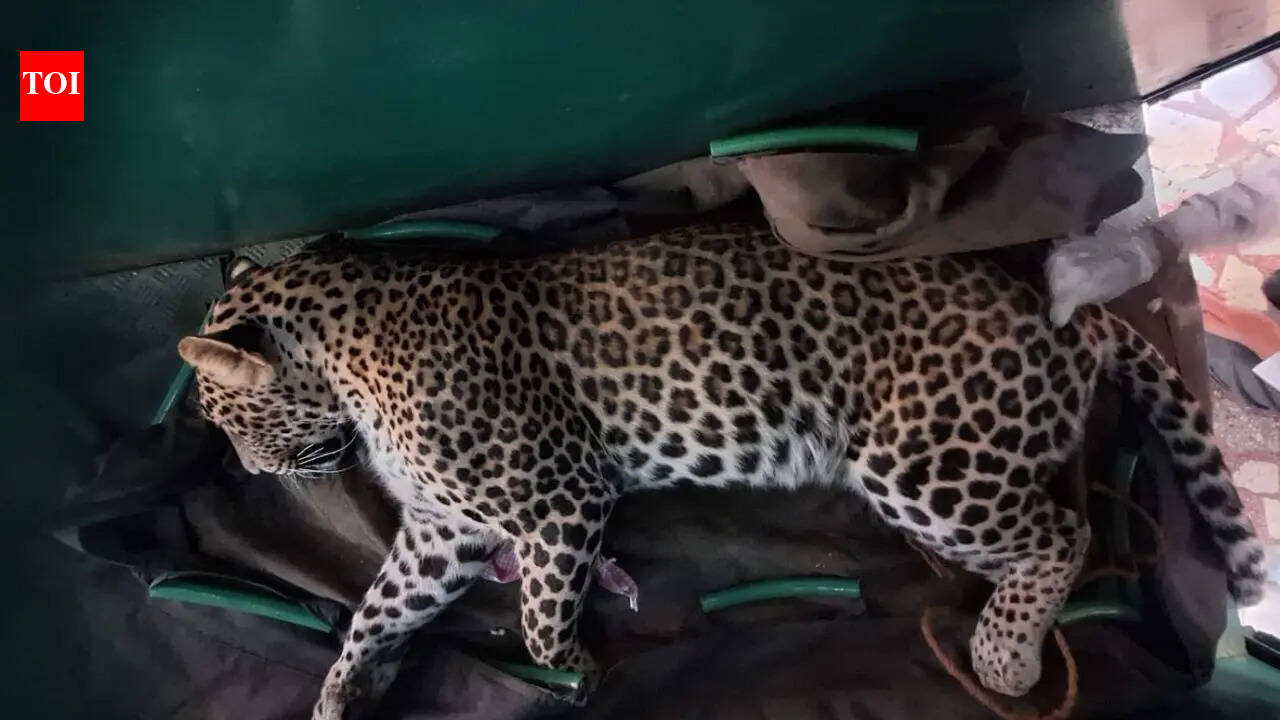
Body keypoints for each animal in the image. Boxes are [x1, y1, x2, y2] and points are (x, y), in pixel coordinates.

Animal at [177, 223, 1265, 719]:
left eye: (221, 413)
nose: (249, 470)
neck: (351, 350)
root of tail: (1068, 314)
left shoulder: (559, 499)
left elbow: (539, 617)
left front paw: (578, 673)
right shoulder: (445, 532)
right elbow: (377, 605)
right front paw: (340, 692)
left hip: (919, 461)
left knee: (1061, 532)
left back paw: (1004, 656)